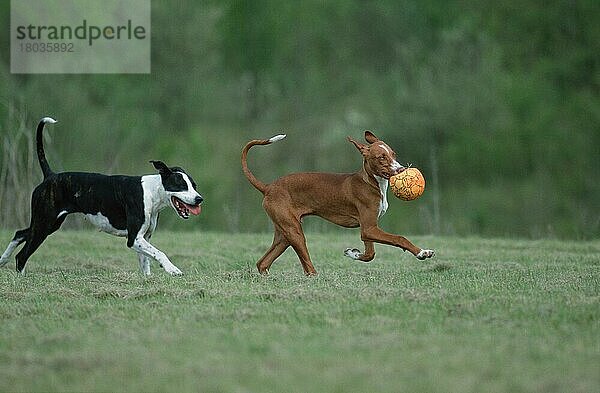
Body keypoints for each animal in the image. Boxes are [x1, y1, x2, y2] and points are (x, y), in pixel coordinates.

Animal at [0, 118, 203, 274]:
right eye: (181, 185)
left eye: (194, 186)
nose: (199, 199)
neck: (152, 192)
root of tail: (50, 176)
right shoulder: (134, 239)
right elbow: (160, 253)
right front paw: (173, 269)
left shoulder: (144, 237)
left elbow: (146, 263)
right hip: (44, 223)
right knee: (22, 255)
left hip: (48, 223)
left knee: (19, 233)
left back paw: (3, 260)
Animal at [241, 130, 434, 274]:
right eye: (381, 157)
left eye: (393, 154)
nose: (401, 169)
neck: (371, 182)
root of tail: (268, 187)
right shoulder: (369, 229)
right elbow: (399, 238)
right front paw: (422, 252)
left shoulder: (367, 230)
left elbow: (369, 254)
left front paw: (352, 253)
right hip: (294, 233)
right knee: (308, 269)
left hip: (284, 235)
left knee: (263, 263)